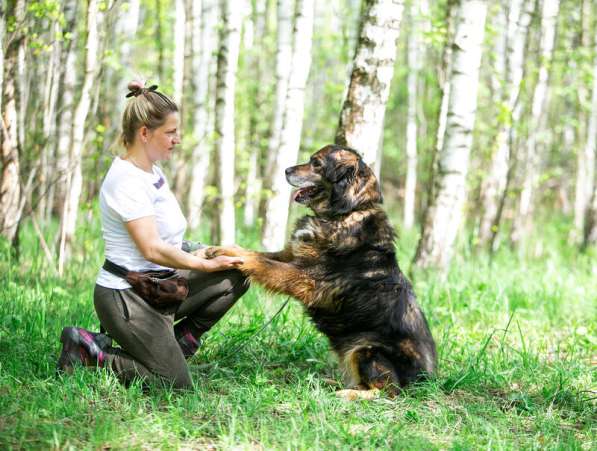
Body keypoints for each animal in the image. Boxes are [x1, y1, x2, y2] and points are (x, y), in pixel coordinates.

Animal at [207, 146, 436, 400]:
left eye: (316, 164)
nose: (286, 170)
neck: (343, 215)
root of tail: (427, 380)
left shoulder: (305, 278)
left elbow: (261, 262)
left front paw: (235, 256)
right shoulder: (290, 256)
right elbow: (258, 254)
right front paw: (226, 248)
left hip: (366, 348)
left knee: (387, 390)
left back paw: (346, 393)